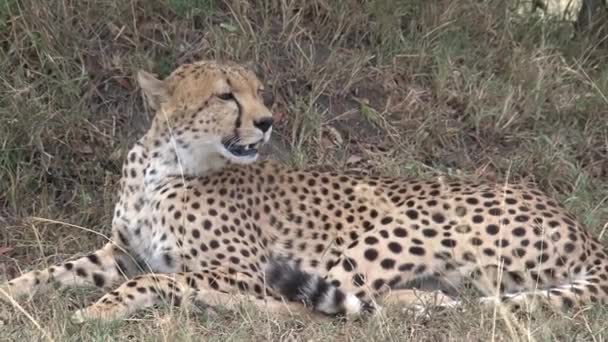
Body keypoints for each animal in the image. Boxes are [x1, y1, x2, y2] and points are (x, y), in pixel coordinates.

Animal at [1, 60, 608, 322]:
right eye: (226, 94)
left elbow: (158, 277)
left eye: (258, 91)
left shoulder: (241, 268)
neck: (165, 164)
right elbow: (53, 272)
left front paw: (100, 310)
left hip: (395, 227)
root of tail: (583, 229)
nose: (268, 121)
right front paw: (14, 292)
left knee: (309, 307)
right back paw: (426, 300)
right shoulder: (121, 252)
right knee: (400, 301)